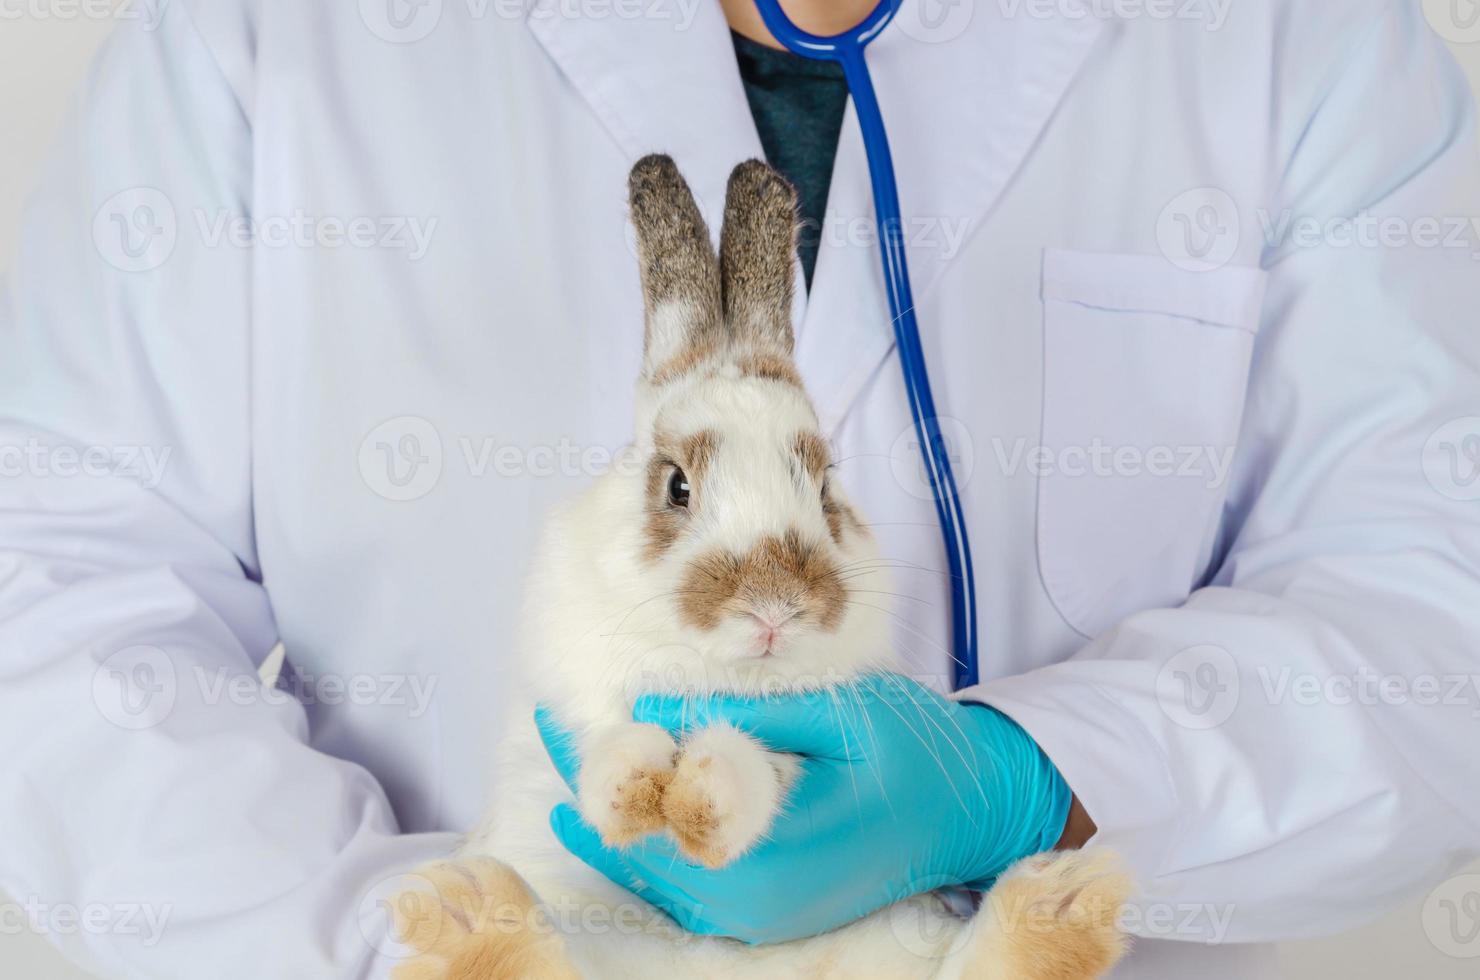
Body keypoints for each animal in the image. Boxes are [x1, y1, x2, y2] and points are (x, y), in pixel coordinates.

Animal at [387, 157, 1124, 980]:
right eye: (678, 485)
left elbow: (755, 774)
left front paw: (700, 800)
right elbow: (605, 746)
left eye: (825, 486)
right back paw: (462, 903)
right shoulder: (578, 697)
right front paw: (634, 789)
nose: (775, 608)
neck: (716, 677)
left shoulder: (799, 753)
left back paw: (1067, 895)